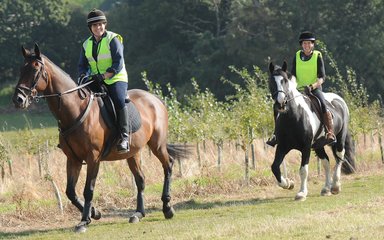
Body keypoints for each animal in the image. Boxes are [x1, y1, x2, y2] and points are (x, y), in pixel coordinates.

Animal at [12, 43, 190, 232]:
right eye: (21, 69)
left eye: (35, 70)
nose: (18, 99)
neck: (75, 110)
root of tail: (155, 99)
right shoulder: (73, 159)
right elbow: (70, 192)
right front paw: (94, 213)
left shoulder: (93, 158)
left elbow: (88, 189)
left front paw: (84, 221)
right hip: (132, 153)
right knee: (140, 179)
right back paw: (138, 214)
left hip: (157, 145)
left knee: (168, 165)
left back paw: (167, 208)